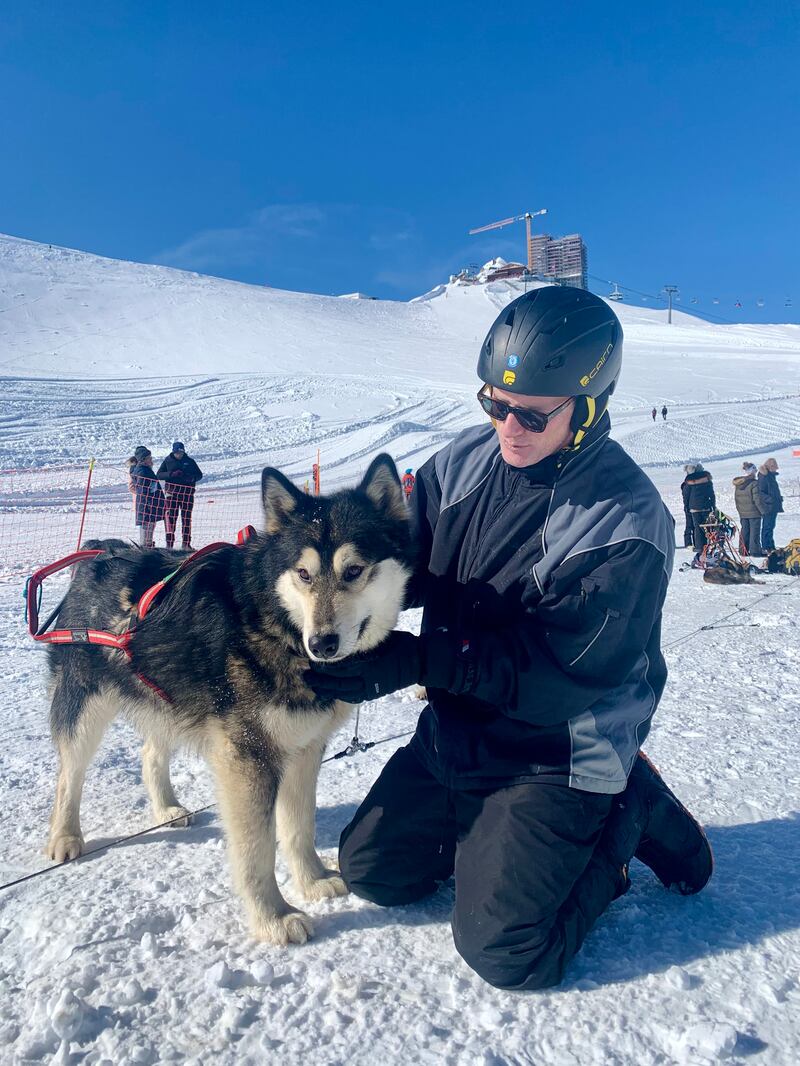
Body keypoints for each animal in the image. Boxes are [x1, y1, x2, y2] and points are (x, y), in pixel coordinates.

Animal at [43, 454, 413, 946]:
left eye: (354, 570)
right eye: (303, 574)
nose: (322, 643)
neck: (273, 623)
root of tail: (102, 550)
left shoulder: (304, 750)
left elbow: (299, 826)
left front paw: (312, 880)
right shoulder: (248, 758)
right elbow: (257, 848)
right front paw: (273, 916)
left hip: (167, 696)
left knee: (149, 752)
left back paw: (165, 807)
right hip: (85, 703)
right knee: (71, 773)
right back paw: (65, 837)